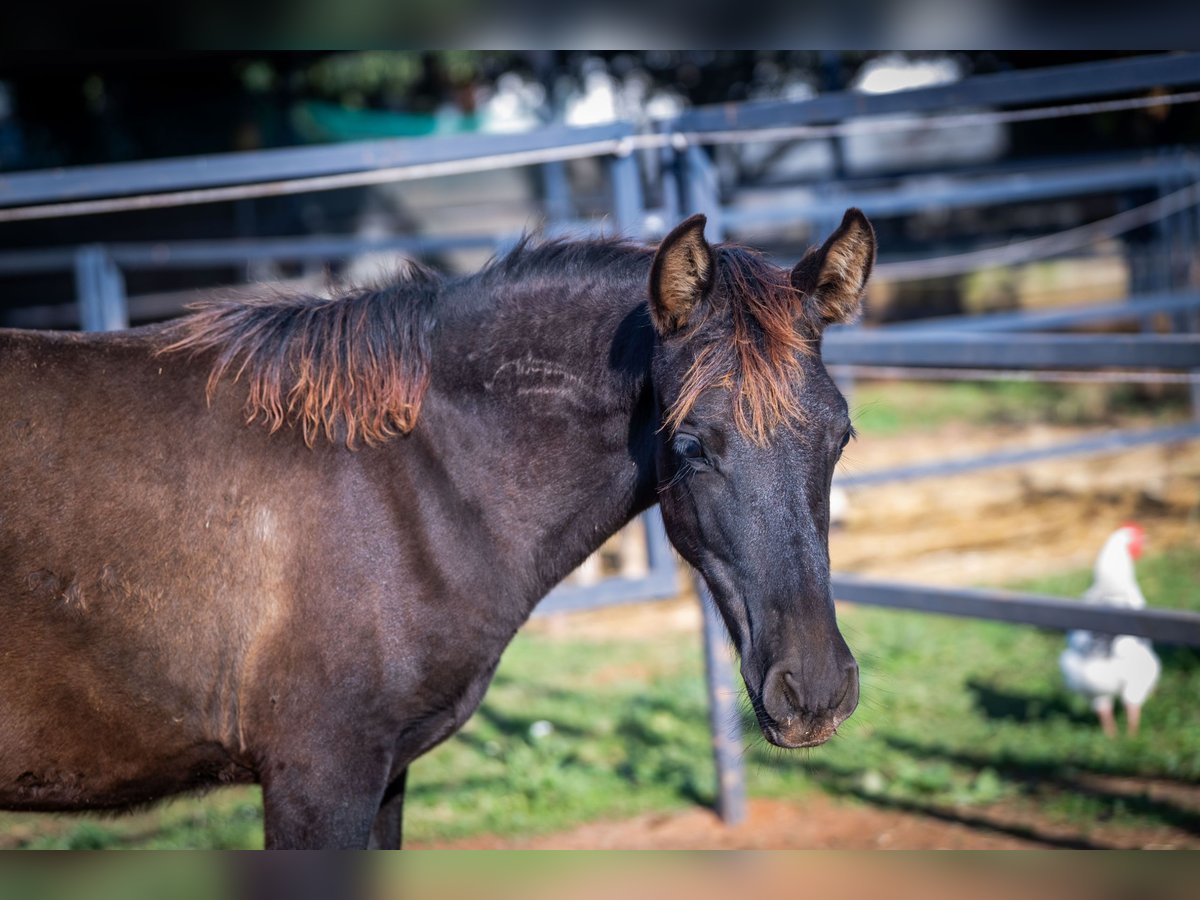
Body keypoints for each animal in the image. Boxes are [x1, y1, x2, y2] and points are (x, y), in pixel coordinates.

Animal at [0, 208, 873, 849]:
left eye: (842, 436)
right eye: (691, 445)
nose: (815, 692)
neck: (402, 482)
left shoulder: (383, 774)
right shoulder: (319, 781)